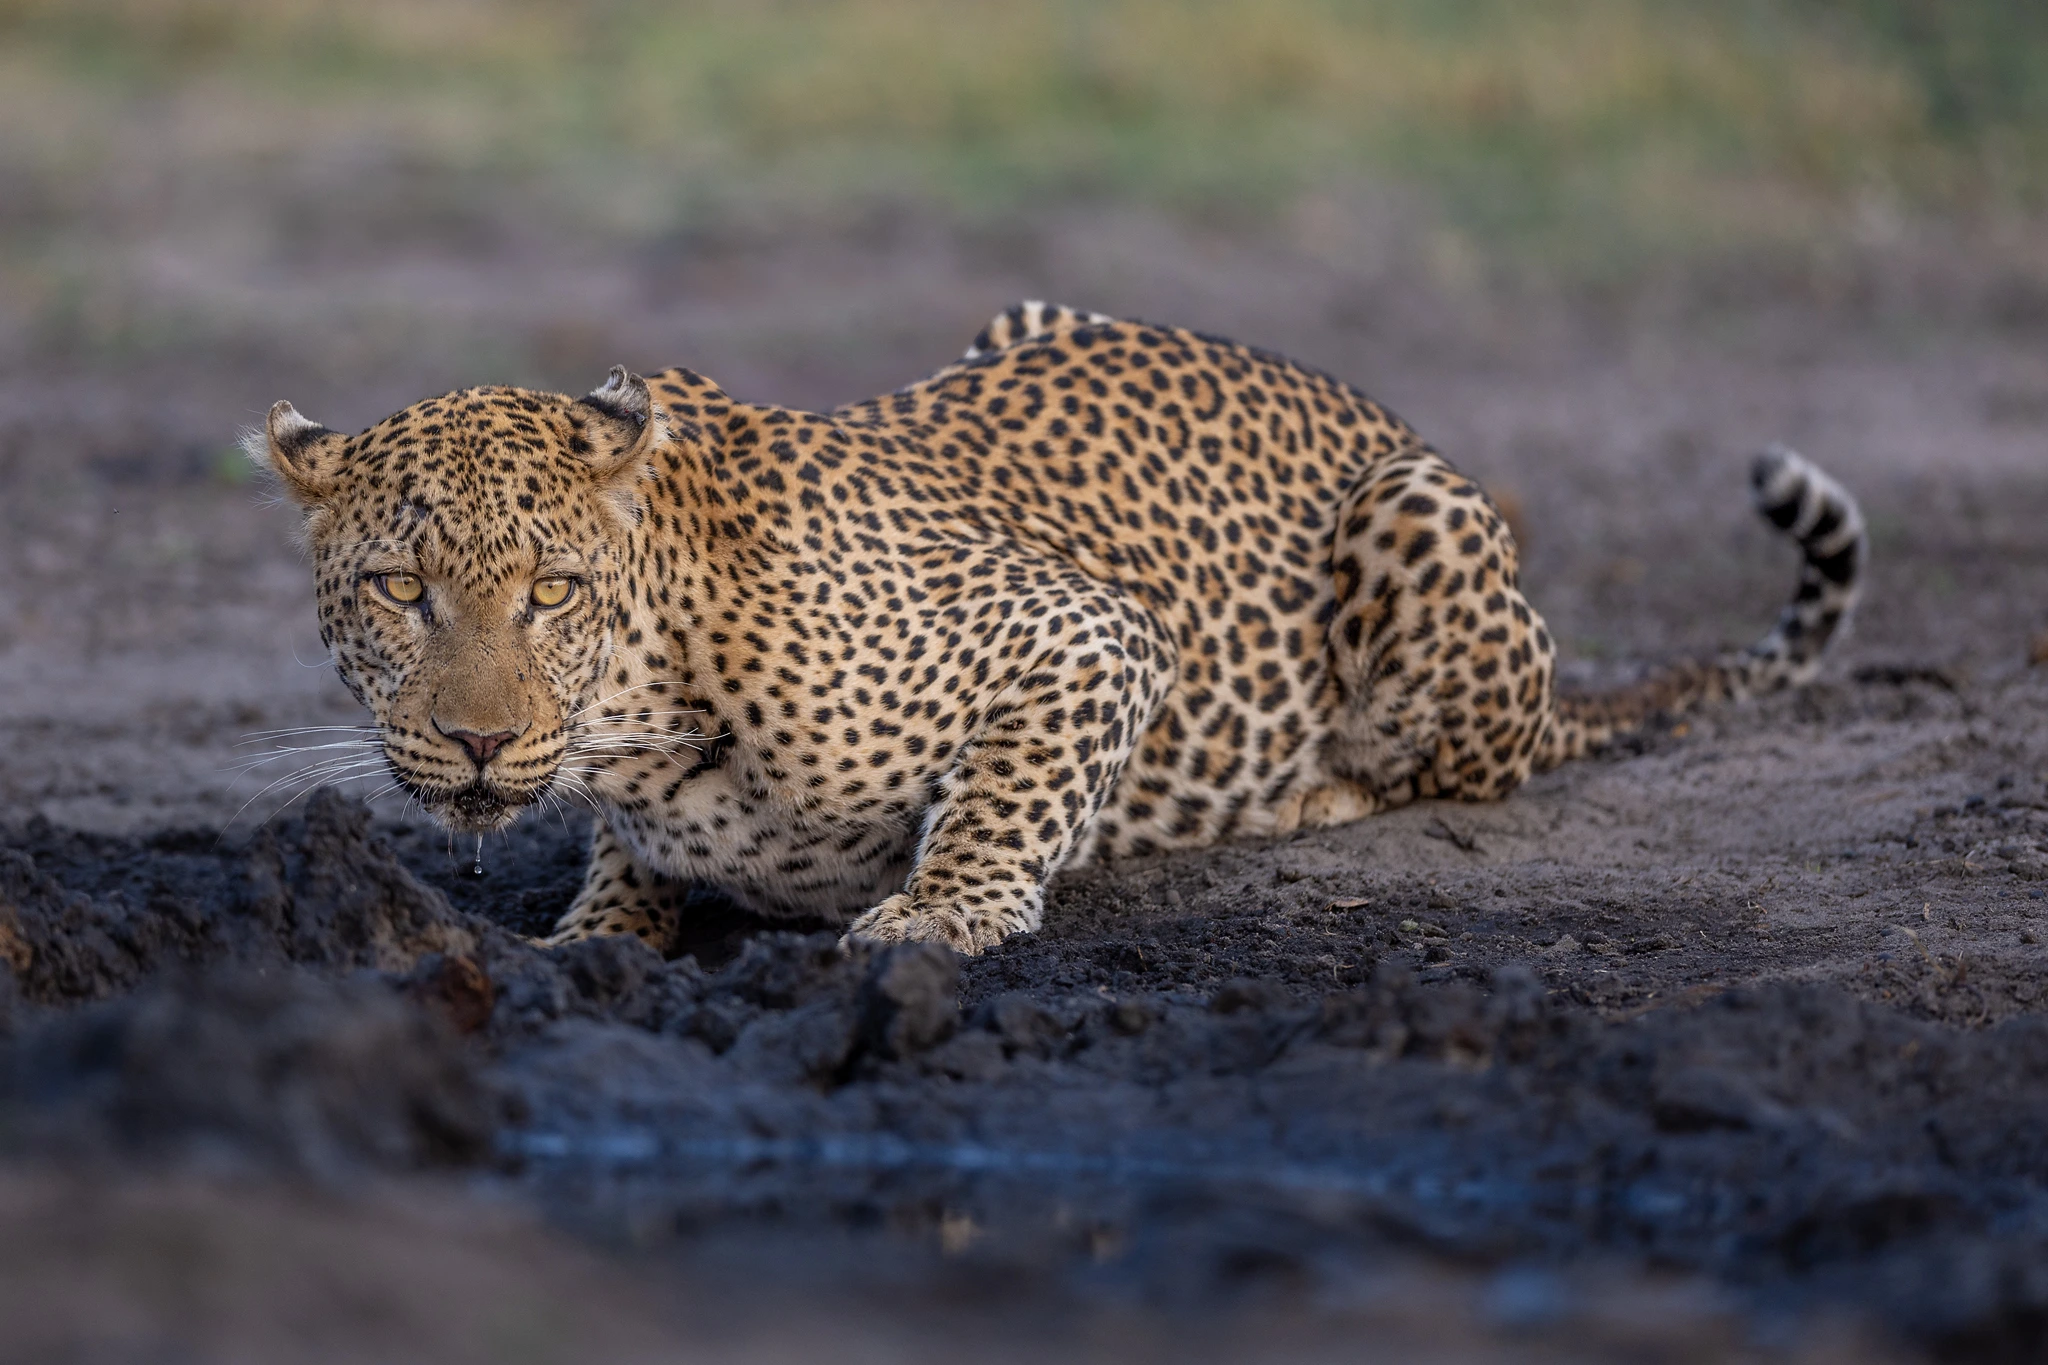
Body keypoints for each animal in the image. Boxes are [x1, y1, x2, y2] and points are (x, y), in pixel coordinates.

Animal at [247, 304, 1867, 957]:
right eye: (400, 589)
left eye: (551, 593)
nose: (475, 742)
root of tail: (1386, 417)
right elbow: (620, 866)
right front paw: (596, 928)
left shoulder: (1081, 632)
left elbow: (1004, 797)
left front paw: (941, 915)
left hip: (1419, 520)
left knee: (1473, 763)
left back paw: (1322, 791)